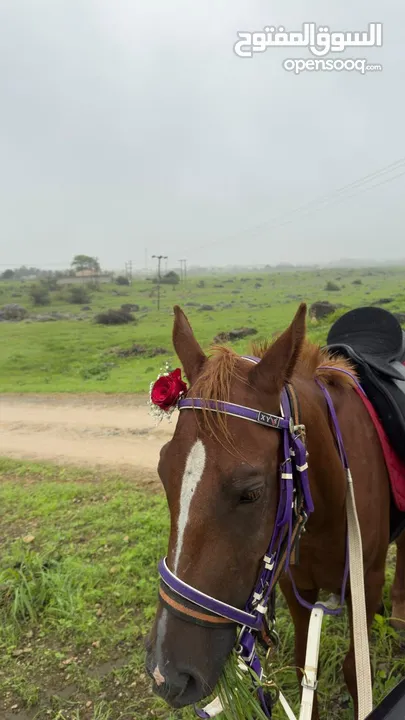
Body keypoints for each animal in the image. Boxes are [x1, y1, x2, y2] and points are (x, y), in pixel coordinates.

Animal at [144, 300, 404, 716]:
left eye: (251, 493)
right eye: (163, 472)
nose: (166, 674)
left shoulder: (366, 581)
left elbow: (353, 669)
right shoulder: (294, 587)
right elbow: (303, 670)